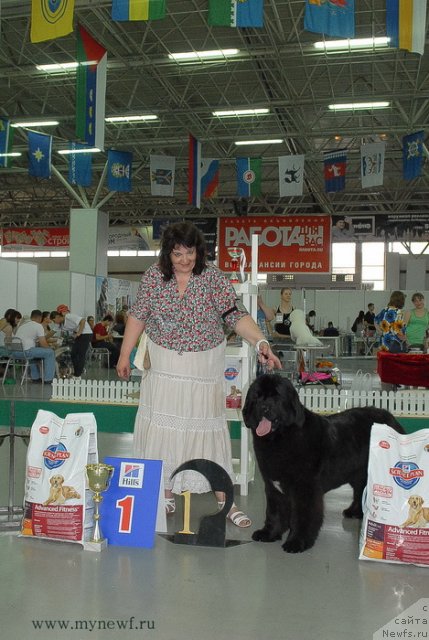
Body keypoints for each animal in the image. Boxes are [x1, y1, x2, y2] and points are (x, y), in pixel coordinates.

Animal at [242, 376, 402, 556]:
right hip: (358, 474)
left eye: (276, 396)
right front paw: (268, 533)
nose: (264, 407)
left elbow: (303, 516)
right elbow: (274, 512)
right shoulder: (273, 487)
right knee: (360, 491)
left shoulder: (305, 489)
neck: (280, 438)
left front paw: (297, 542)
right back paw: (354, 512)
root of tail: (391, 418)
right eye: (257, 396)